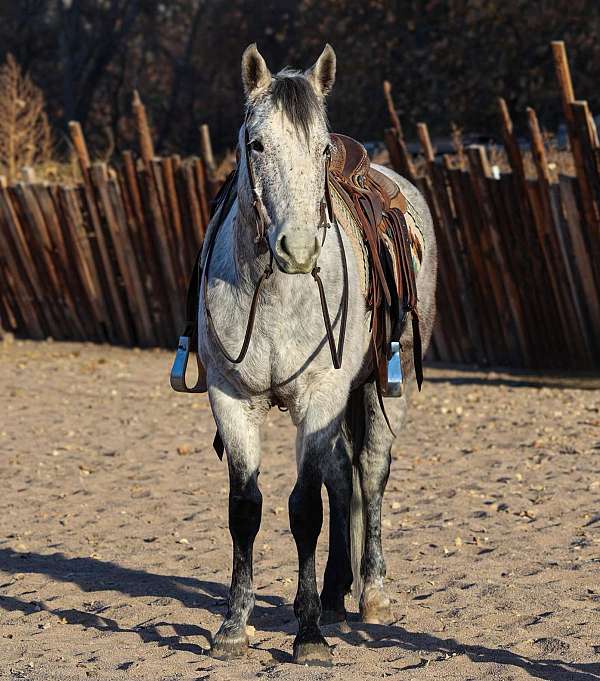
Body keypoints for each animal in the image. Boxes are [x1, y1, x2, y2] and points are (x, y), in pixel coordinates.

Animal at [197, 43, 436, 664]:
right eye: (257, 144)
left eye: (321, 148)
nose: (299, 248)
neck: (276, 291)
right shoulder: (230, 400)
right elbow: (246, 510)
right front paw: (234, 627)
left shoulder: (317, 399)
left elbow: (304, 510)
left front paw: (307, 636)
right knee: (342, 478)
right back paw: (333, 592)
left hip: (383, 385)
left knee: (369, 473)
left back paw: (371, 592)